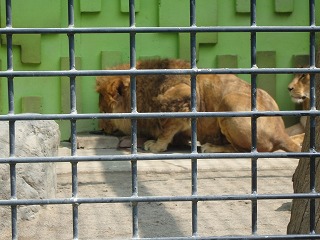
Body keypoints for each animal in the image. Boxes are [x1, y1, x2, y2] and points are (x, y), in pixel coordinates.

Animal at [95, 58, 300, 153]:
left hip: (230, 102)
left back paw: (212, 147)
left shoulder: (184, 96)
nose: (102, 129)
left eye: (104, 111)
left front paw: (156, 145)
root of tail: (281, 132)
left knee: (243, 150)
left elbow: (167, 127)